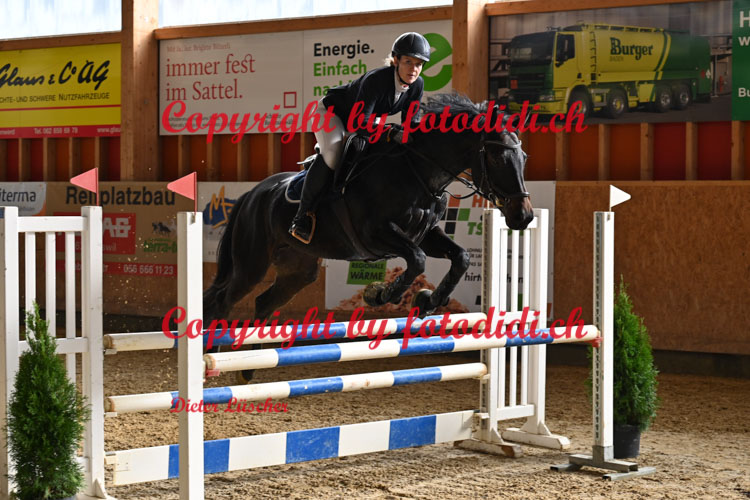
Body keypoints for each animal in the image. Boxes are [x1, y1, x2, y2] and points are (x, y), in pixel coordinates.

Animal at [203, 93, 533, 330]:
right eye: (497, 158)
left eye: (524, 158)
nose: (524, 216)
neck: (417, 171)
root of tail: (251, 194)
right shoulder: (375, 235)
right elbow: (417, 259)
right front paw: (382, 294)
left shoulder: (425, 234)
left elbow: (460, 257)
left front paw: (428, 300)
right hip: (251, 263)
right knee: (220, 301)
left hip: (298, 268)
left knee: (263, 302)